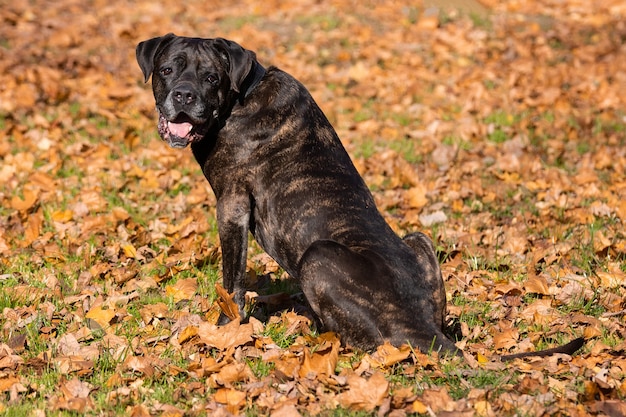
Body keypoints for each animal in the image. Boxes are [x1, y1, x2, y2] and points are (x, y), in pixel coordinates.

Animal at [136, 34, 584, 358]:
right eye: (167, 69)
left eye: (212, 78)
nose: (184, 95)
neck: (240, 95)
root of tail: (420, 324)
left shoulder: (231, 207)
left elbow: (232, 283)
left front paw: (224, 330)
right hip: (420, 240)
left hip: (316, 257)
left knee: (371, 344)